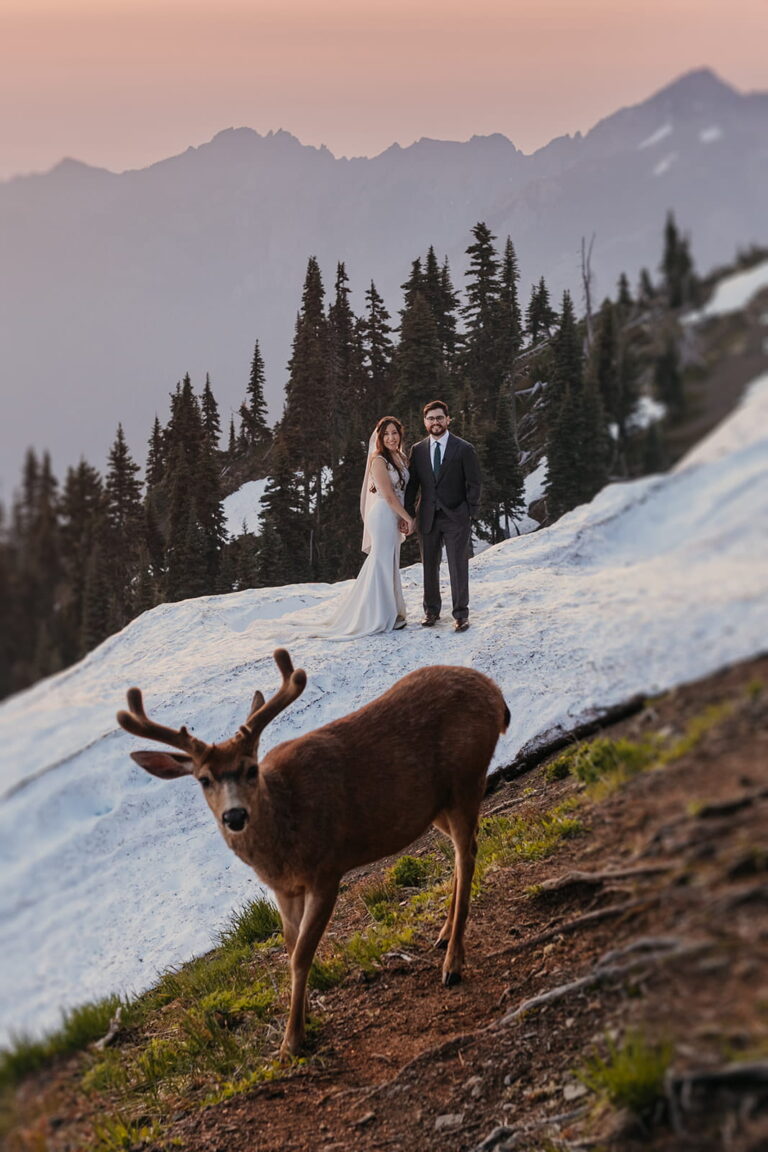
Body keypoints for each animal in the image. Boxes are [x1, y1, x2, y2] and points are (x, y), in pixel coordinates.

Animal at [117, 648, 509, 1057]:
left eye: (250, 769)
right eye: (204, 779)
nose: (235, 815)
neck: (284, 837)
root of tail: (495, 692)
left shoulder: (327, 868)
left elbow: (303, 953)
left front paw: (292, 1040)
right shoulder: (283, 890)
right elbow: (290, 951)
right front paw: (301, 1018)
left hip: (466, 776)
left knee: (468, 852)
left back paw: (453, 965)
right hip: (436, 805)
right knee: (462, 850)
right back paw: (444, 935)